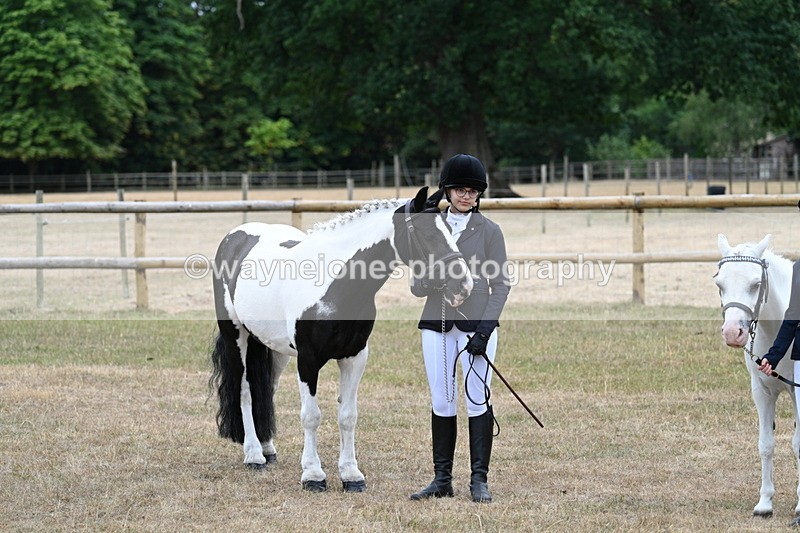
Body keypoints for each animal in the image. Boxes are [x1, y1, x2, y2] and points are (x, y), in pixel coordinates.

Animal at [209, 186, 473, 492]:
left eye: (448, 228)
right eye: (426, 233)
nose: (463, 286)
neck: (335, 285)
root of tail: (235, 237)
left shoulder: (354, 356)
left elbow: (348, 416)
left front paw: (351, 475)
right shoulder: (308, 360)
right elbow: (311, 416)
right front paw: (313, 475)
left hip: (274, 348)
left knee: (266, 390)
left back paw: (267, 449)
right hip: (236, 336)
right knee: (245, 390)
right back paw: (253, 455)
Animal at [716, 233, 799, 519]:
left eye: (756, 284)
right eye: (719, 283)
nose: (732, 332)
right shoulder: (761, 391)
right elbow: (766, 444)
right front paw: (764, 503)